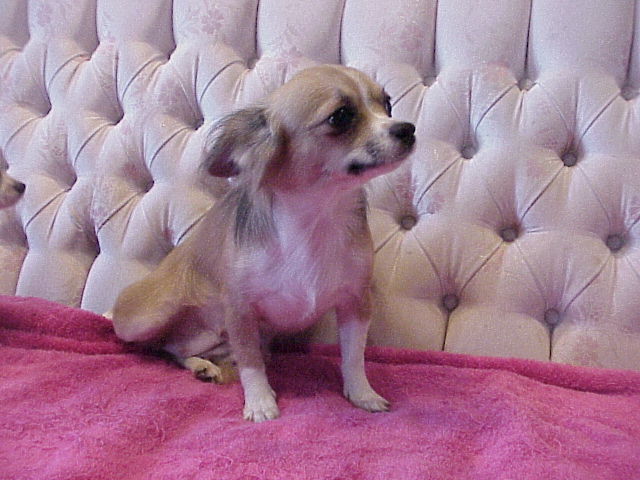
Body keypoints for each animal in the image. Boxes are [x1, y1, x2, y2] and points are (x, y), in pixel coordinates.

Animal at [110, 65, 416, 422]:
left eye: (388, 105)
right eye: (341, 116)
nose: (408, 129)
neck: (316, 216)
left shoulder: (355, 303)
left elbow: (353, 357)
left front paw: (362, 394)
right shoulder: (240, 309)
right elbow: (251, 363)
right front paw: (259, 402)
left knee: (176, 348)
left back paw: (203, 365)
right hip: (150, 315)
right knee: (158, 346)